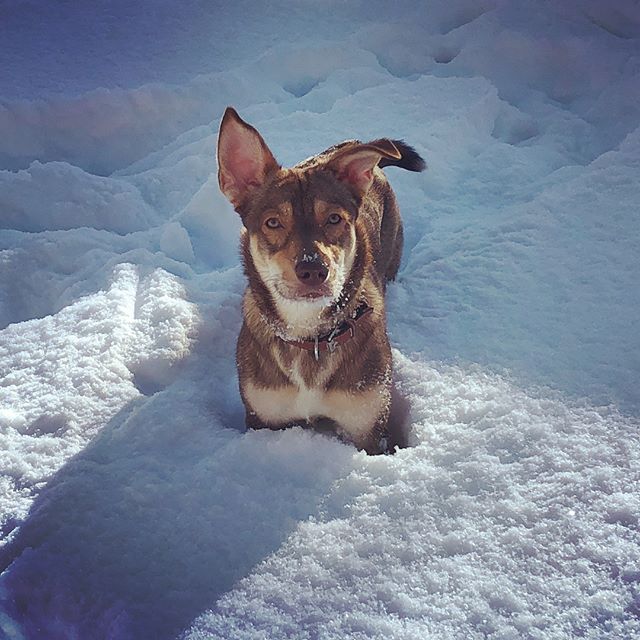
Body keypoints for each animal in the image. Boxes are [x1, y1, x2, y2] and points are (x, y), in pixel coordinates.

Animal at [216, 106, 424, 456]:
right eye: (273, 222)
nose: (313, 270)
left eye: (334, 218)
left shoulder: (366, 424)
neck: (308, 335)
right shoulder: (263, 415)